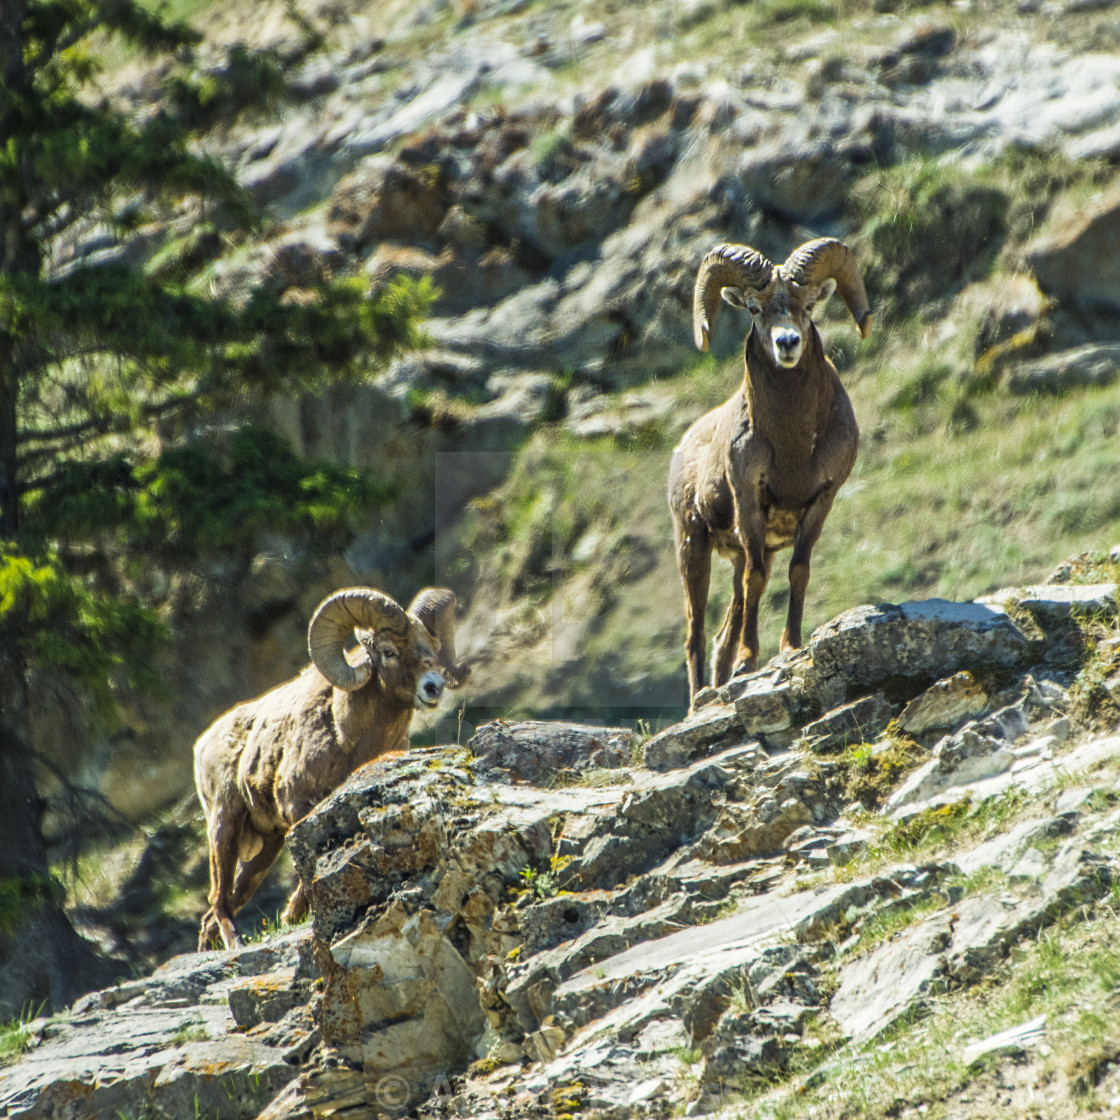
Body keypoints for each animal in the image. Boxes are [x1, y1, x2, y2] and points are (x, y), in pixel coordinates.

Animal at [192, 586, 468, 945]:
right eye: (388, 651)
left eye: (433, 648)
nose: (433, 686)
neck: (344, 734)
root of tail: (202, 744)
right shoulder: (298, 808)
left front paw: (292, 916)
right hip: (225, 825)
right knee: (219, 900)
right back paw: (235, 943)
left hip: (267, 847)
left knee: (214, 913)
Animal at [667, 238, 869, 707]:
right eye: (755, 309)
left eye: (808, 306)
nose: (788, 342)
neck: (792, 445)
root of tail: (682, 448)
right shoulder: (749, 504)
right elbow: (757, 580)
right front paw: (748, 662)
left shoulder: (819, 503)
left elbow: (799, 571)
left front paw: (790, 647)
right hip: (692, 546)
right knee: (696, 633)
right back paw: (701, 698)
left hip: (733, 550)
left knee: (721, 633)